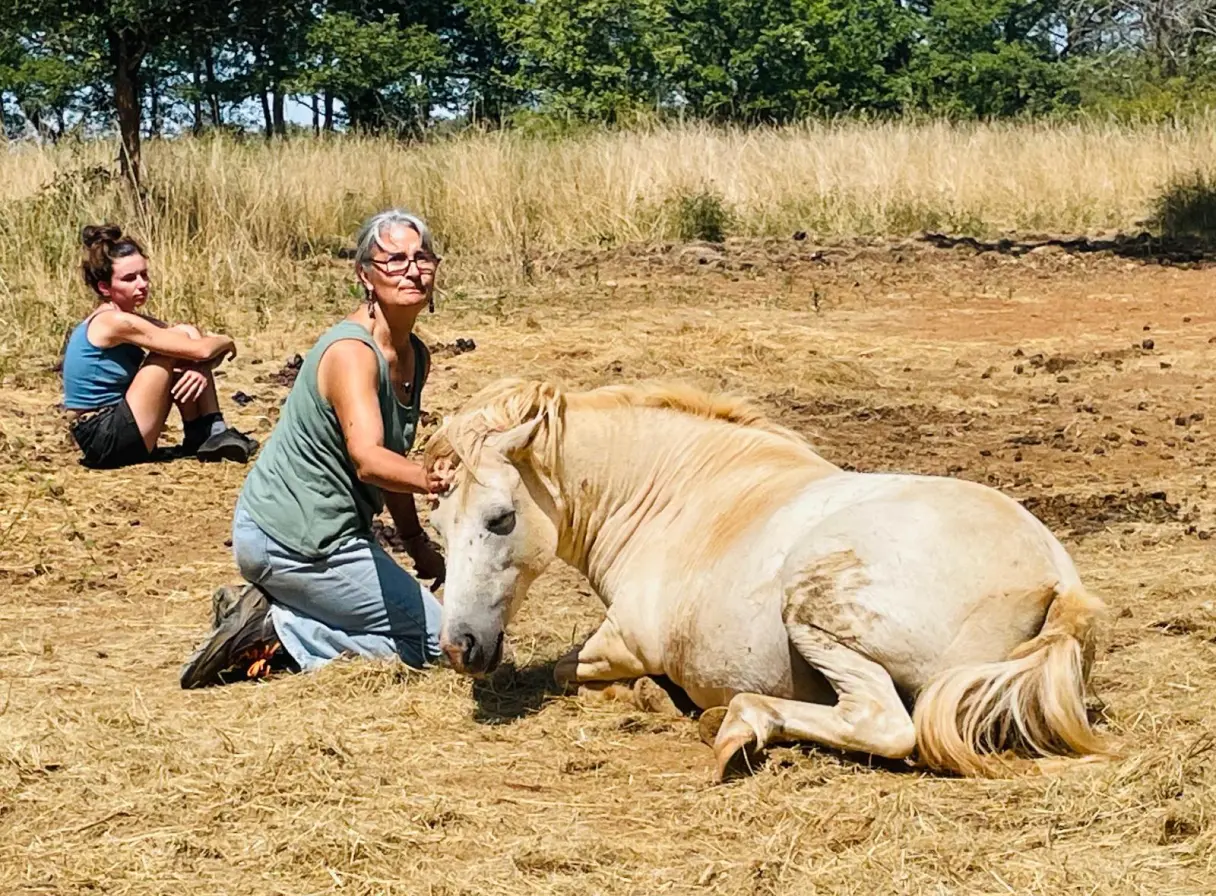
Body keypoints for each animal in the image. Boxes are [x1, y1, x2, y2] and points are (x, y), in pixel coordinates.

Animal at [424, 378, 1110, 781]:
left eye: (501, 518)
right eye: (437, 524)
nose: (459, 649)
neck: (677, 497)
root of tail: (1058, 580)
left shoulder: (625, 641)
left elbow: (568, 669)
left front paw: (644, 696)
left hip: (811, 612)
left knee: (884, 725)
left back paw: (736, 725)